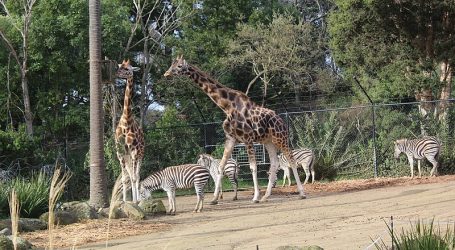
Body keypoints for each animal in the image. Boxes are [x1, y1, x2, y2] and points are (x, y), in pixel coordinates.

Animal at [164, 54, 306, 203]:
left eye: (179, 66)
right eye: (172, 64)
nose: (166, 74)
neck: (227, 106)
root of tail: (281, 121)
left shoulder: (247, 138)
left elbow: (253, 167)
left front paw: (255, 197)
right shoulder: (231, 138)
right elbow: (220, 167)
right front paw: (214, 199)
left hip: (281, 138)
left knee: (291, 160)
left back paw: (301, 193)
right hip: (268, 141)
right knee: (274, 163)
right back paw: (266, 196)